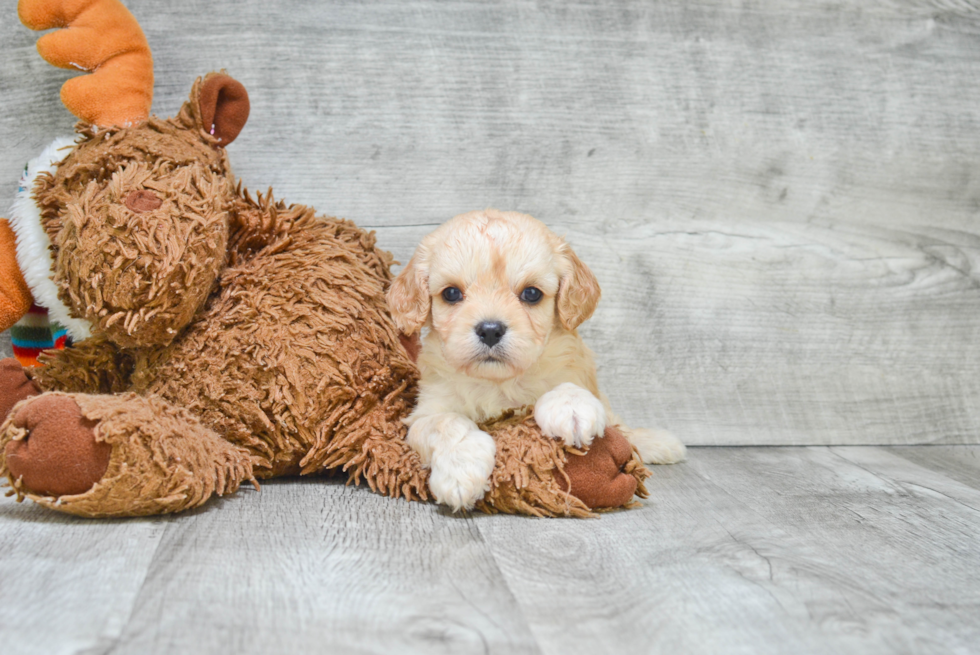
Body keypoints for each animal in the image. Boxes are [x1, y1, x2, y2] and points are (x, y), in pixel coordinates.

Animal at [386, 210, 684, 512]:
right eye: (451, 293)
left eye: (531, 294)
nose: (490, 330)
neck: (498, 382)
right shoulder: (424, 414)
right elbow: (447, 423)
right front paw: (460, 473)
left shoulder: (574, 367)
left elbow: (568, 386)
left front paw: (571, 408)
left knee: (620, 425)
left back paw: (659, 442)